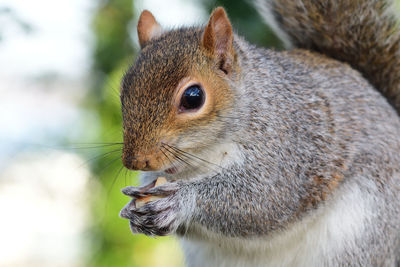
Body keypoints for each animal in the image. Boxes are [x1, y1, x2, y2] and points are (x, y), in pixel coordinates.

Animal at [119, 0, 400, 266]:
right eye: (124, 91)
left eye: (193, 97)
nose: (136, 161)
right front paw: (134, 210)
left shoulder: (290, 143)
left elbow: (265, 200)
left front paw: (180, 199)